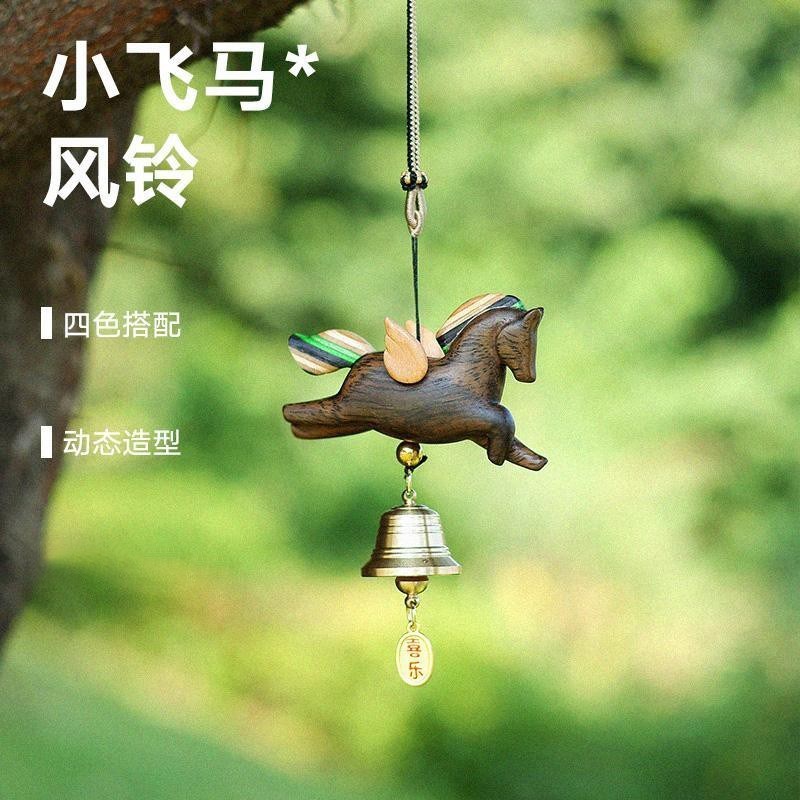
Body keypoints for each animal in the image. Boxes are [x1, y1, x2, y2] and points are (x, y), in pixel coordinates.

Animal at [282, 306, 547, 471]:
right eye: (522, 344)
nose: (529, 377)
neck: (468, 373)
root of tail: (356, 365)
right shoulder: (470, 414)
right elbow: (504, 416)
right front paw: (496, 457)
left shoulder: (475, 430)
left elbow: (513, 441)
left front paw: (535, 460)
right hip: (344, 408)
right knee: (299, 410)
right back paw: (290, 416)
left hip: (355, 420)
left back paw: (300, 431)